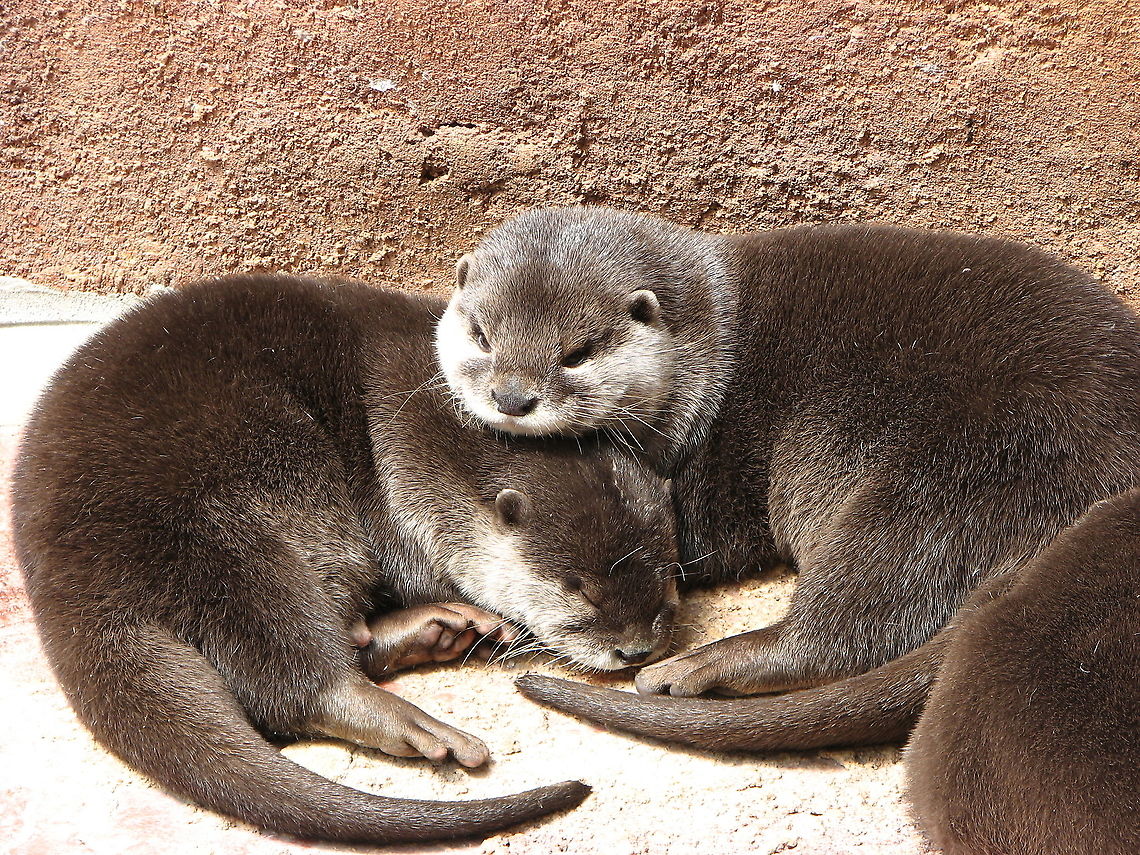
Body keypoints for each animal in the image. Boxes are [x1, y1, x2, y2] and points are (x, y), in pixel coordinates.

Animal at [11, 273, 678, 845]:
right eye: (579, 589)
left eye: (669, 583)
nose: (637, 650)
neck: (442, 435)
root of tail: (66, 567)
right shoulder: (403, 483)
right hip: (217, 526)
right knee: (286, 671)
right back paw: (403, 717)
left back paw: (436, 632)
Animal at [437, 206, 1140, 702]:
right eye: (482, 334)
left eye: (577, 352)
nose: (512, 396)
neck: (711, 357)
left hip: (959, 477)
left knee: (858, 611)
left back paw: (699, 667)